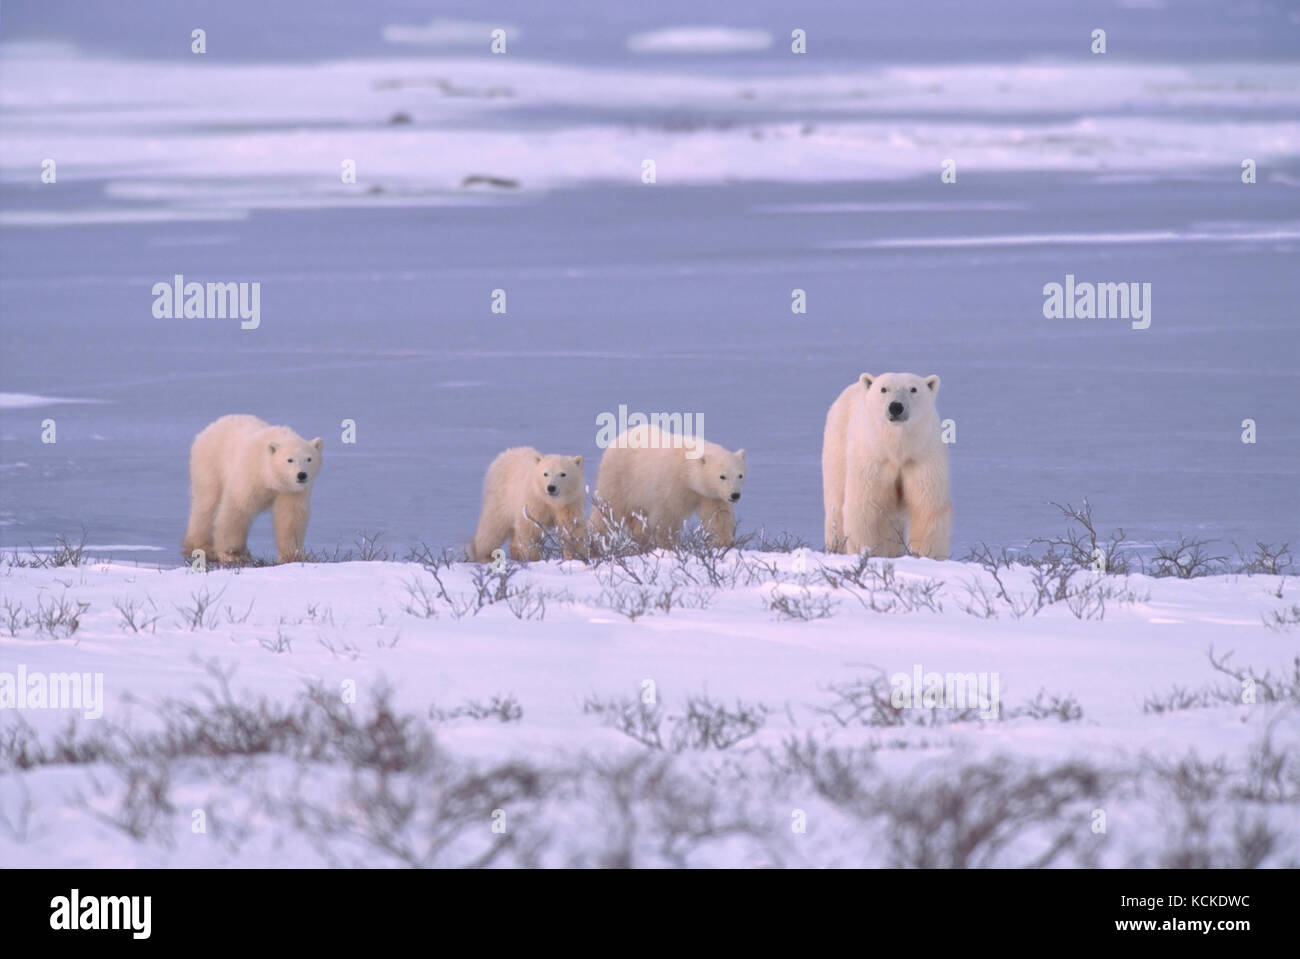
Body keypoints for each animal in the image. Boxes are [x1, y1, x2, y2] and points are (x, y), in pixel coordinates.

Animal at [182, 410, 323, 561]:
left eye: (309, 458)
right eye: (289, 460)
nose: (301, 475)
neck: (269, 476)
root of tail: (209, 428)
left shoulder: (290, 491)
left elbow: (290, 517)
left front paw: (293, 556)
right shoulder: (249, 474)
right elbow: (237, 508)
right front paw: (233, 554)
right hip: (209, 465)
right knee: (207, 503)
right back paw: (202, 547)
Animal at [587, 423, 743, 548]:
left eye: (740, 475)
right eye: (722, 476)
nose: (735, 495)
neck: (685, 469)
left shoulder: (709, 494)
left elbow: (718, 515)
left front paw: (723, 542)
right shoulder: (671, 483)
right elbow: (668, 516)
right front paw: (669, 544)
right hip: (619, 476)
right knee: (609, 508)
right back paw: (596, 537)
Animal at [826, 369, 951, 556]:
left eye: (913, 389)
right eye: (883, 389)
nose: (896, 407)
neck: (896, 450)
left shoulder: (921, 457)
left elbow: (927, 505)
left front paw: (927, 555)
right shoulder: (873, 458)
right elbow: (865, 507)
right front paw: (867, 551)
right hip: (837, 443)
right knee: (836, 500)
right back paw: (836, 547)